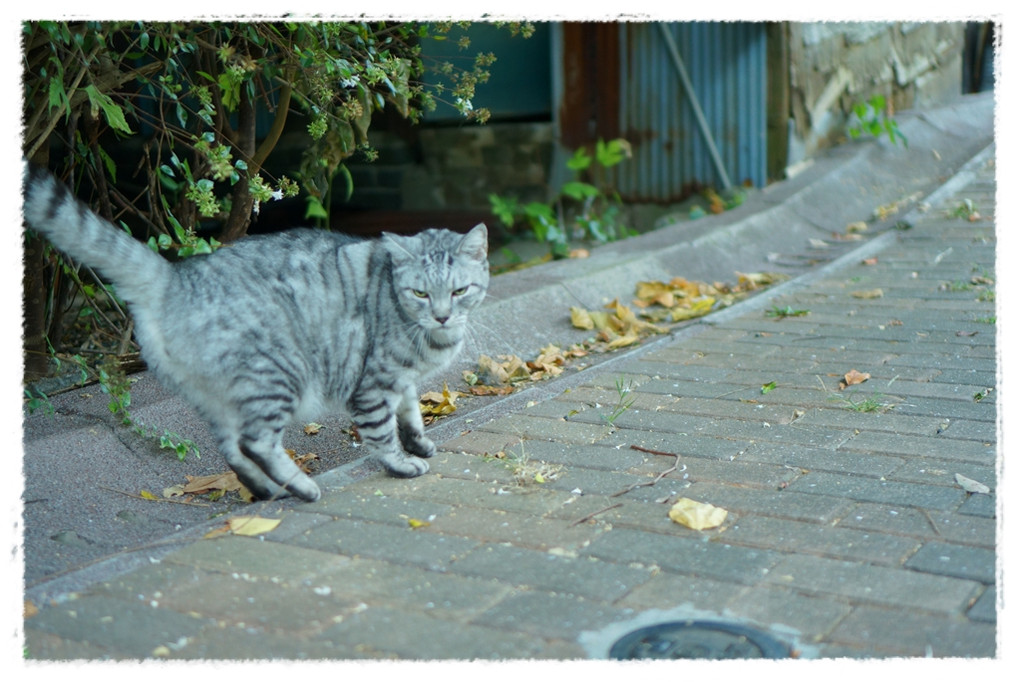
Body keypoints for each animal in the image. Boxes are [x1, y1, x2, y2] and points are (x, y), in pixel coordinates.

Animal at [20, 164, 489, 499]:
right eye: (421, 293)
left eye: (459, 291)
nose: (443, 316)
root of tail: (176, 277)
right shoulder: (374, 382)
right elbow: (381, 430)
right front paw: (401, 463)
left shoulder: (400, 380)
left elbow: (410, 413)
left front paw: (419, 443)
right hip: (278, 375)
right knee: (257, 442)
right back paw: (302, 487)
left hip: (215, 396)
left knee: (233, 448)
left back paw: (266, 490)